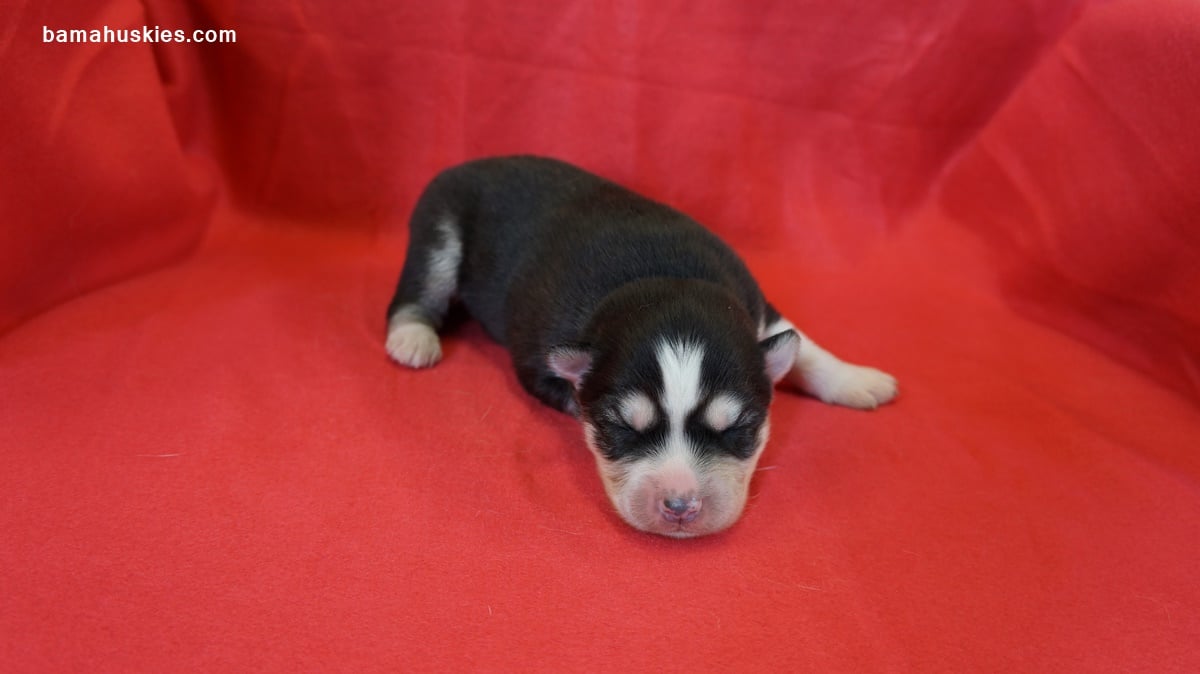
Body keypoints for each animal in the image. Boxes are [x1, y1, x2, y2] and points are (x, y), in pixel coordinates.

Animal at [385, 156, 897, 537]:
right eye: (621, 429)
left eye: (739, 428)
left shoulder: (759, 309)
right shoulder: (539, 362)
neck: (662, 277)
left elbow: (803, 346)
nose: (680, 506)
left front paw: (858, 379)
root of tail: (469, 162)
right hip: (437, 230)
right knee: (418, 288)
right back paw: (412, 337)